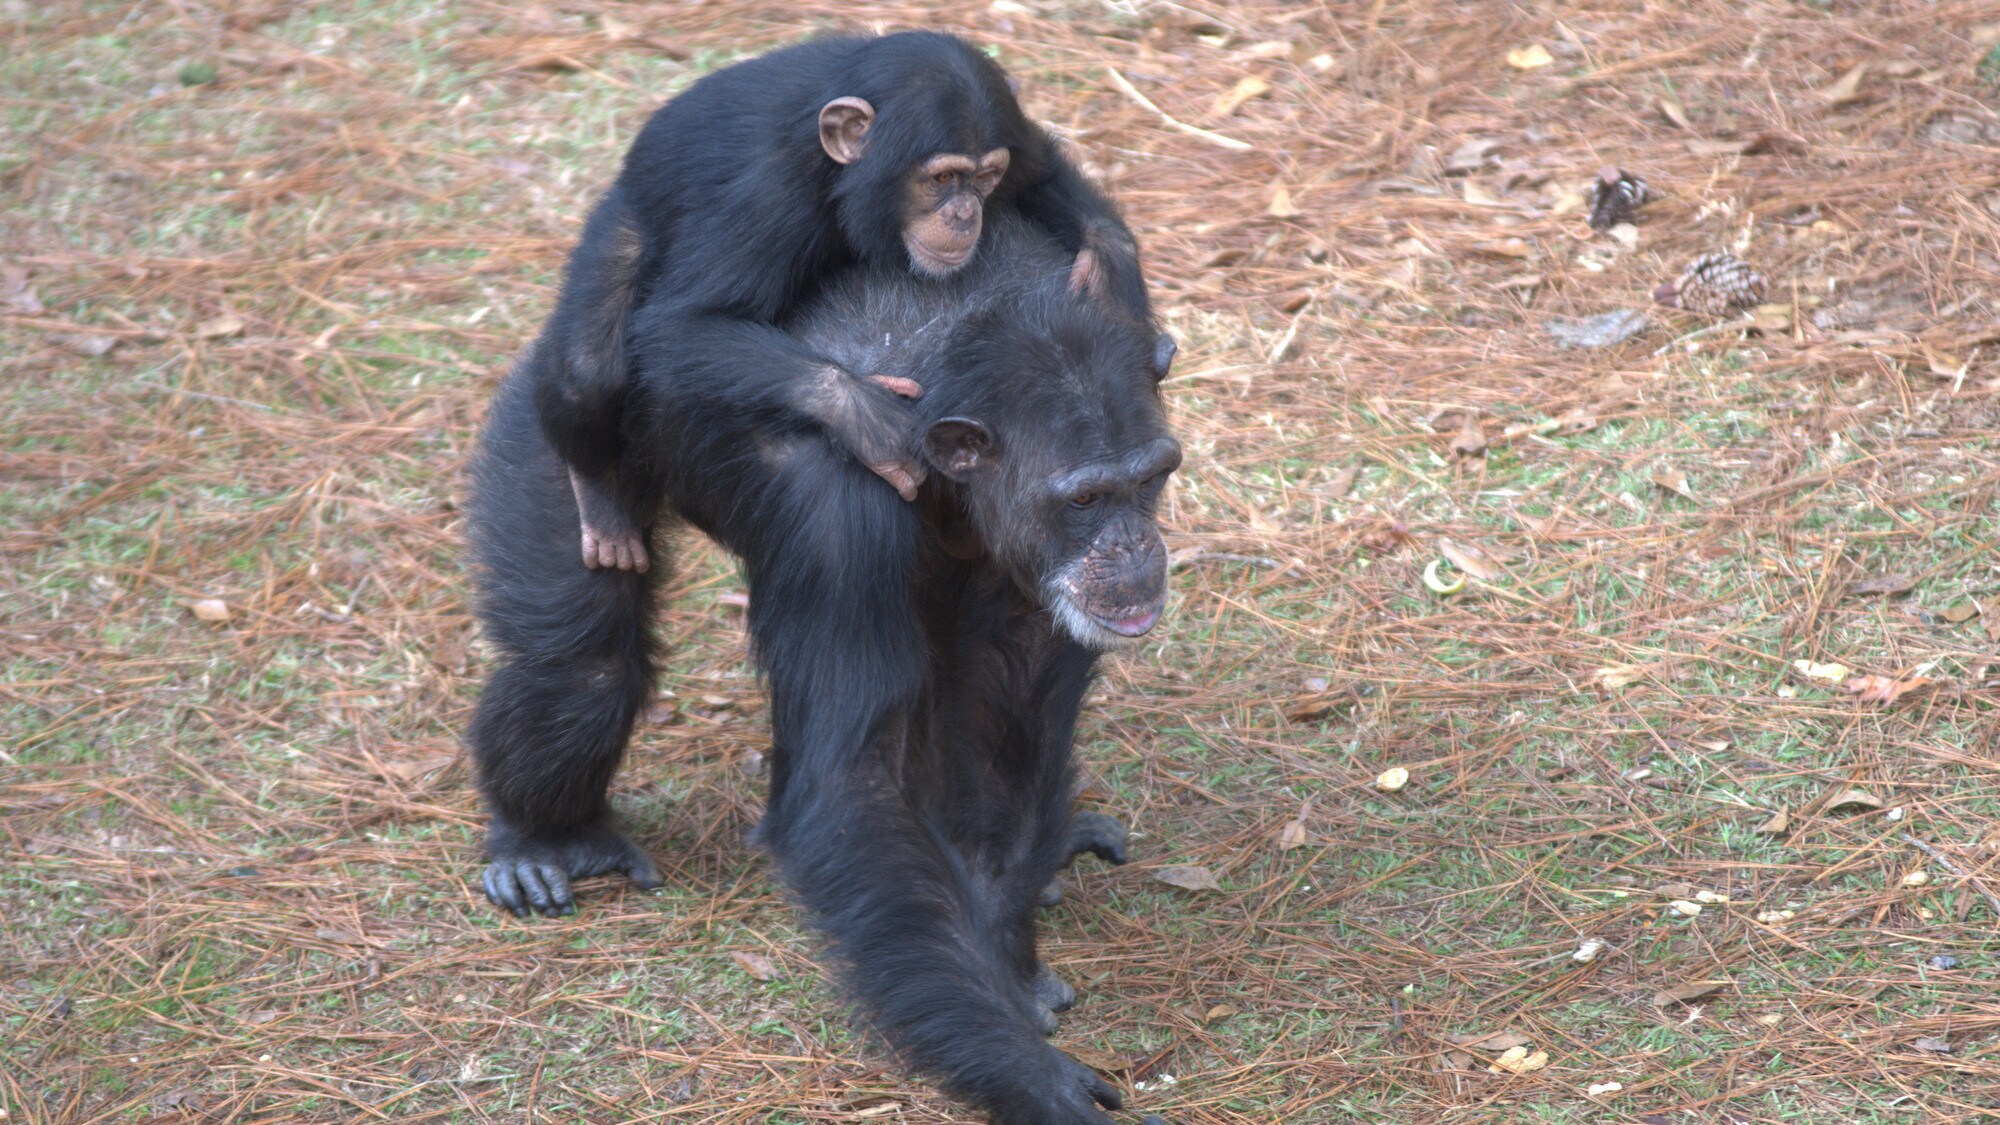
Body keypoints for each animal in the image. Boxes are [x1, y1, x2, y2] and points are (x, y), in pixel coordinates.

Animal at [466, 212, 1176, 1120]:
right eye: (1084, 498)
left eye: (1150, 478)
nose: (1133, 545)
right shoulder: (836, 512)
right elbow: (848, 780)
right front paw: (1029, 1074)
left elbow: (1005, 707)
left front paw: (1006, 963)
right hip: (556, 430)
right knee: (580, 671)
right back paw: (545, 842)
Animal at [536, 30, 1160, 572]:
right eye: (942, 180)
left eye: (985, 177)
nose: (965, 214)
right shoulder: (769, 196)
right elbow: (685, 324)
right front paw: (868, 416)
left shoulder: (1016, 143)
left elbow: (1040, 172)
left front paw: (1112, 265)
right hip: (625, 217)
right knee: (589, 370)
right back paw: (602, 500)